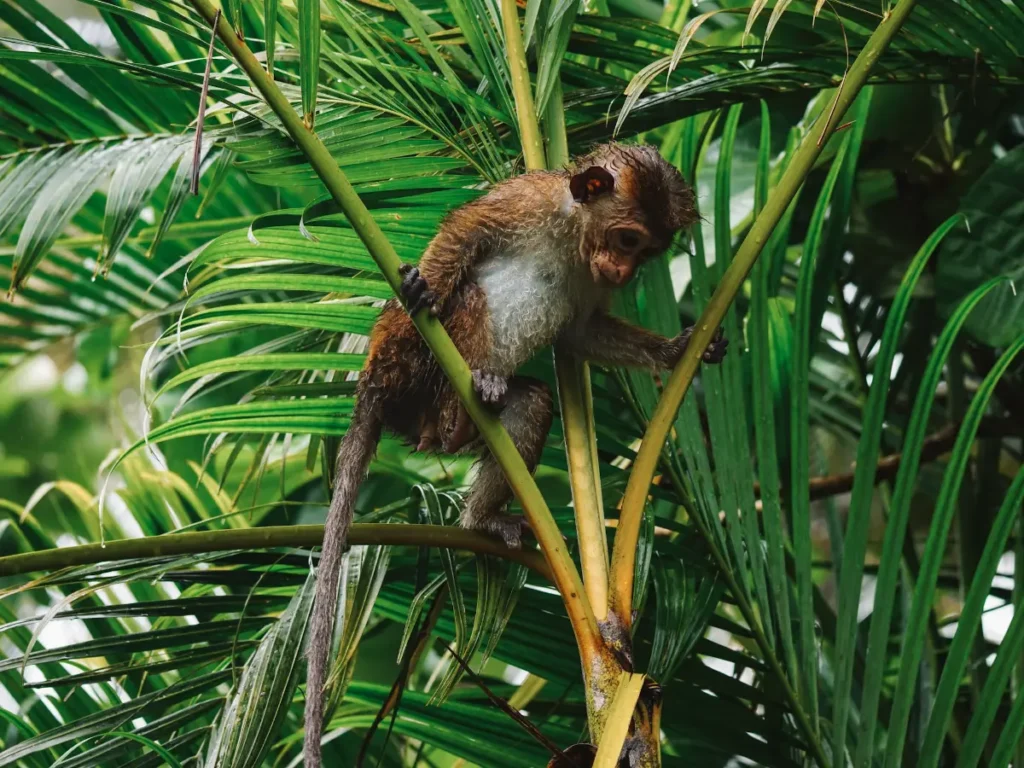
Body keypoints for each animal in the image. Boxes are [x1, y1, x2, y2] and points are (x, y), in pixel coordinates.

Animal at [303, 141, 729, 765]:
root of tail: (378, 392)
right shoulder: (524, 202)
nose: (625, 270)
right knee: (461, 299)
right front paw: (421, 291)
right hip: (416, 376)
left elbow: (579, 333)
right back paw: (456, 382)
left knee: (531, 403)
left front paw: (676, 352)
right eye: (628, 240)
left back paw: (479, 512)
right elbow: (462, 234)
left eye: (647, 251)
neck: (574, 233)